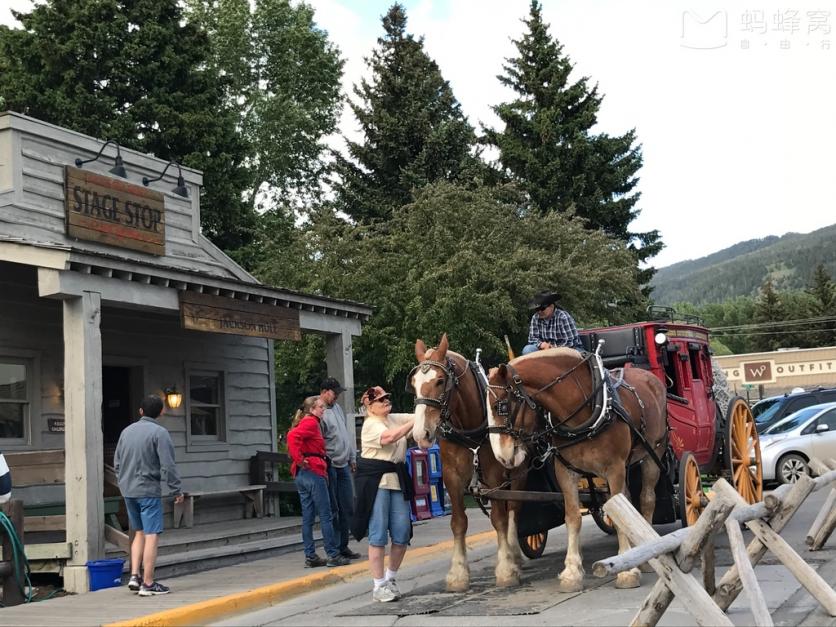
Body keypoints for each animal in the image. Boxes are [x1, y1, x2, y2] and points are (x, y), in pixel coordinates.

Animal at [408, 336, 524, 592]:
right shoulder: (451, 477)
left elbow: (499, 519)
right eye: (413, 383)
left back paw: (514, 553)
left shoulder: (493, 476)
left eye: (440, 381)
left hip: (517, 472)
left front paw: (505, 569)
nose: (421, 434)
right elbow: (458, 523)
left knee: (513, 508)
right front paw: (458, 573)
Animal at [484, 348, 668, 592]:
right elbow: (573, 517)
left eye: (502, 406)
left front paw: (627, 571)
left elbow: (619, 514)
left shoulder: (615, 468)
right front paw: (572, 572)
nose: (502, 456)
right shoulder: (566, 472)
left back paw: (647, 554)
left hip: (652, 455)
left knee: (647, 500)